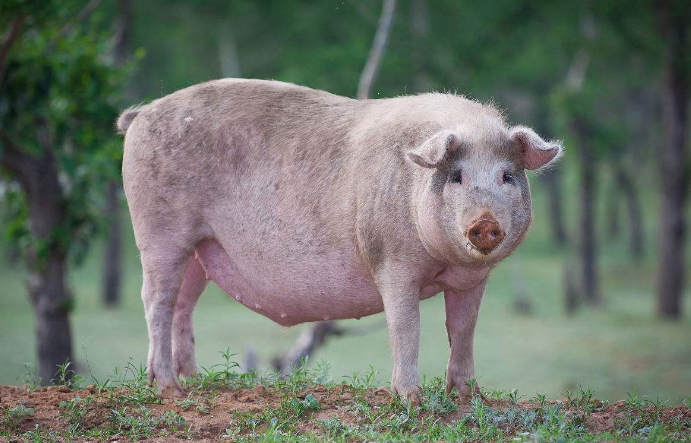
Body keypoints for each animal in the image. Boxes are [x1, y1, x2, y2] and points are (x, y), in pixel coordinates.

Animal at [117, 78, 564, 404]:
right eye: (456, 176)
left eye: (507, 176)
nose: (485, 224)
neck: (445, 264)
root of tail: (142, 114)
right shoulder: (391, 262)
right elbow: (407, 327)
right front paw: (413, 400)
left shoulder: (473, 280)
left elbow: (463, 329)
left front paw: (469, 398)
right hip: (160, 231)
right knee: (156, 300)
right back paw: (170, 391)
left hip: (201, 248)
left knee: (184, 304)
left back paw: (198, 383)